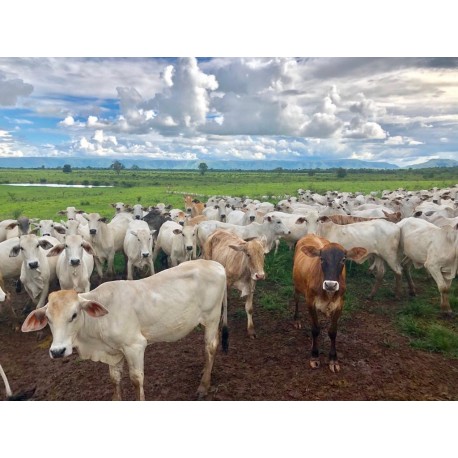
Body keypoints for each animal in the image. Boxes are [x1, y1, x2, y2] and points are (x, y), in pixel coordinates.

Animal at [21, 260, 229, 402]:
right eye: (48, 318)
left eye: (74, 314)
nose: (57, 351)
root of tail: (216, 264)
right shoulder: (114, 352)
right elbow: (114, 378)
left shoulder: (135, 346)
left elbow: (136, 379)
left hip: (212, 317)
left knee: (210, 346)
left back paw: (204, 385)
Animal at [294, 236, 368, 372]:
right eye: (322, 258)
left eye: (343, 259)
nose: (330, 284)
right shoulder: (310, 301)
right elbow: (315, 329)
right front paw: (314, 356)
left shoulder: (339, 304)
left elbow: (333, 332)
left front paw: (333, 359)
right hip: (296, 285)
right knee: (296, 299)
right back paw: (296, 320)